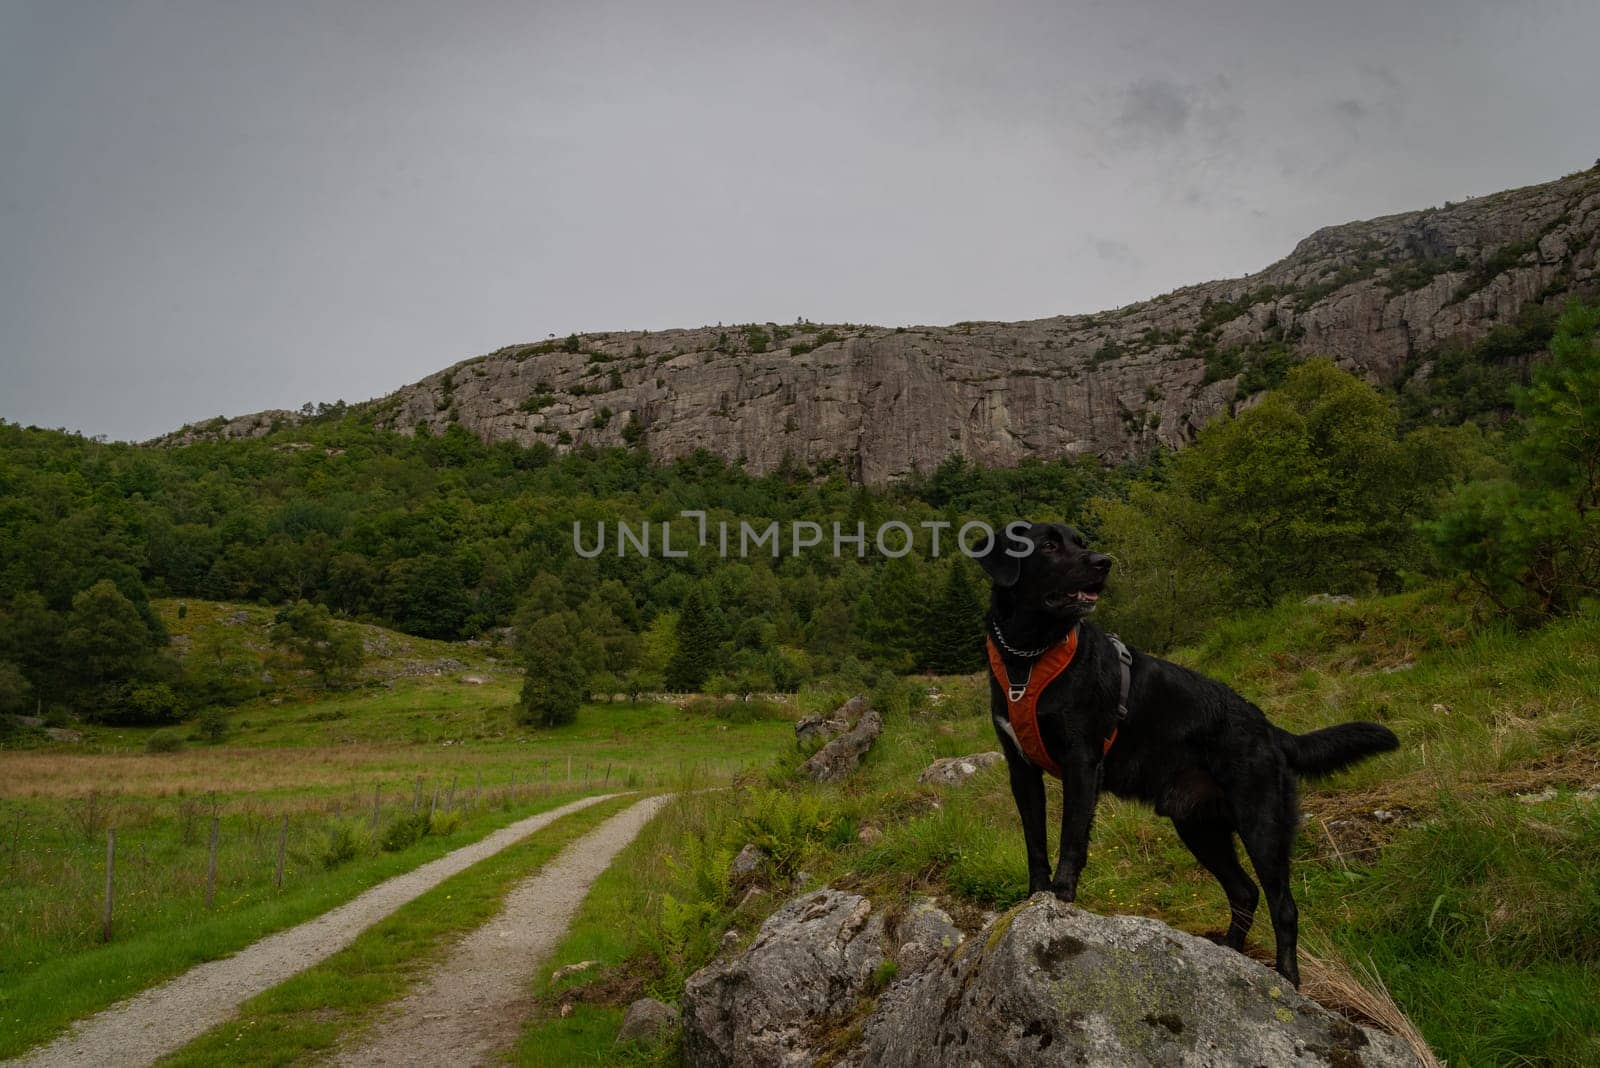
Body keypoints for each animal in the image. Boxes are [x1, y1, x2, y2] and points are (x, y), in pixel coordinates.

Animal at [966, 518, 1395, 984]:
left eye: (1081, 542)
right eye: (1047, 545)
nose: (1103, 562)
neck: (1029, 656)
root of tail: (1269, 728)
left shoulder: (1082, 762)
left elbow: (1071, 839)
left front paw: (1061, 900)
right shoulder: (1022, 770)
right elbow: (1036, 844)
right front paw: (1034, 898)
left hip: (1261, 824)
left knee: (1284, 907)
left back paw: (1287, 979)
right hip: (1198, 826)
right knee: (1245, 891)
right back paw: (1229, 952)